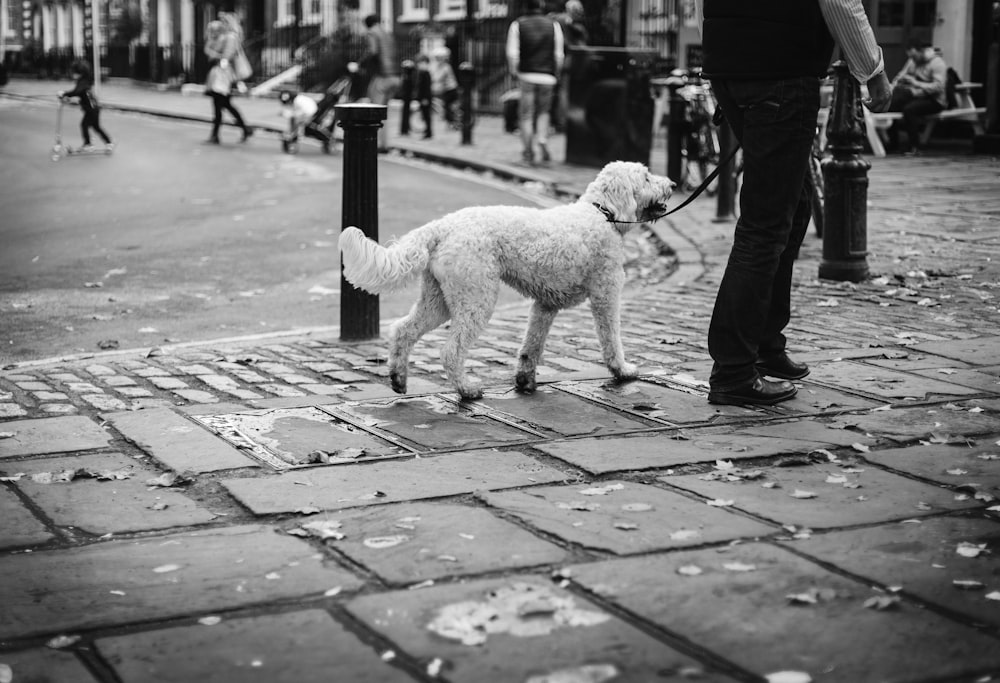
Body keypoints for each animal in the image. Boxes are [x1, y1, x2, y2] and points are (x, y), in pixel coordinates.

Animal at [340, 162, 676, 400]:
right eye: (646, 177)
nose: (673, 184)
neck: (602, 214)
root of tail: (442, 226)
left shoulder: (545, 305)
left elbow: (532, 346)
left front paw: (525, 380)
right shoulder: (607, 294)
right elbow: (611, 338)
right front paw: (622, 371)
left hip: (439, 299)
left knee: (403, 330)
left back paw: (398, 379)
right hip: (476, 297)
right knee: (451, 351)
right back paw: (467, 390)